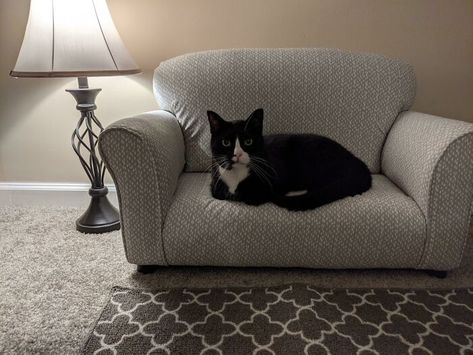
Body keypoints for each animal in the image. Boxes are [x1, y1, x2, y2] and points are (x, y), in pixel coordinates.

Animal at [208, 109, 370, 211]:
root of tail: (360, 165)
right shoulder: (215, 186)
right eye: (226, 142)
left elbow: (252, 196)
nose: (237, 154)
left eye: (248, 142)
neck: (236, 175)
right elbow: (219, 193)